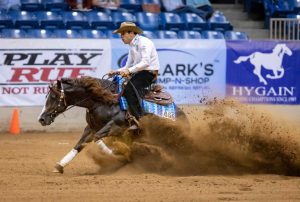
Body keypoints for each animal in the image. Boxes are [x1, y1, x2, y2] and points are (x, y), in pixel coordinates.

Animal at [37, 76, 188, 174]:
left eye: (53, 97)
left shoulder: (116, 127)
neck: (101, 101)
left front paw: (121, 154)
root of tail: (182, 115)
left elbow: (98, 139)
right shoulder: (90, 128)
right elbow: (79, 145)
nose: (42, 119)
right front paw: (59, 166)